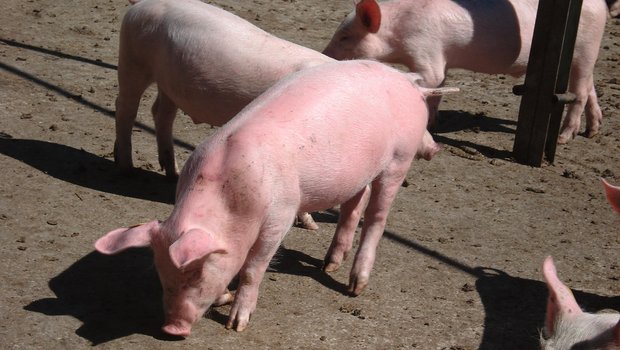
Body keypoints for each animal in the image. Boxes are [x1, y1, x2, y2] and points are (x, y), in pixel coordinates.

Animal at [92, 59, 444, 336]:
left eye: (198, 272)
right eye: (161, 275)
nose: (171, 328)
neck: (231, 199)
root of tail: (409, 82)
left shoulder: (280, 215)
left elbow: (253, 268)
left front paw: (235, 325)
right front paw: (224, 299)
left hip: (399, 158)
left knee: (377, 218)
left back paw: (354, 287)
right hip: (358, 171)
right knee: (353, 205)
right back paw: (330, 265)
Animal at [113, 0, 332, 230]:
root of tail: (138, 6)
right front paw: (312, 226)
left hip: (168, 83)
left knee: (161, 113)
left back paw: (173, 173)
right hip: (132, 60)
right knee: (125, 107)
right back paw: (127, 170)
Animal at [324, 0, 612, 144]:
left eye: (345, 36)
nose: (325, 54)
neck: (397, 30)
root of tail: (601, 5)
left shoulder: (426, 50)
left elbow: (432, 80)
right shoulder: (443, 60)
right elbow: (440, 88)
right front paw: (433, 123)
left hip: (587, 47)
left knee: (580, 92)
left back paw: (565, 138)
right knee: (589, 87)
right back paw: (593, 131)